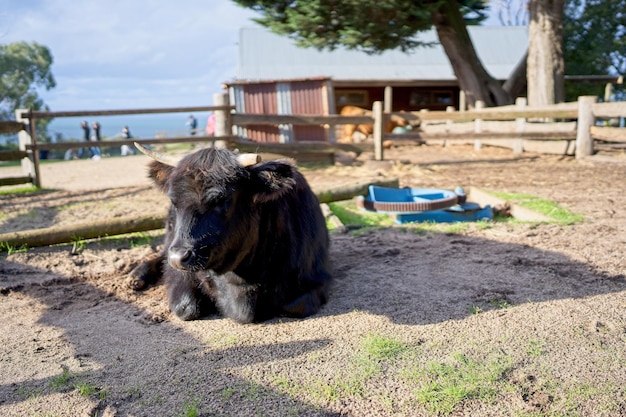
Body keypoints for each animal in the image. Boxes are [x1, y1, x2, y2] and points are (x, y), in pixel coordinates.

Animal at [128, 145, 332, 324]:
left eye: (222, 199)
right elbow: (186, 307)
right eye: (173, 200)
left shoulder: (317, 276)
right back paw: (136, 276)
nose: (179, 258)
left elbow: (295, 306)